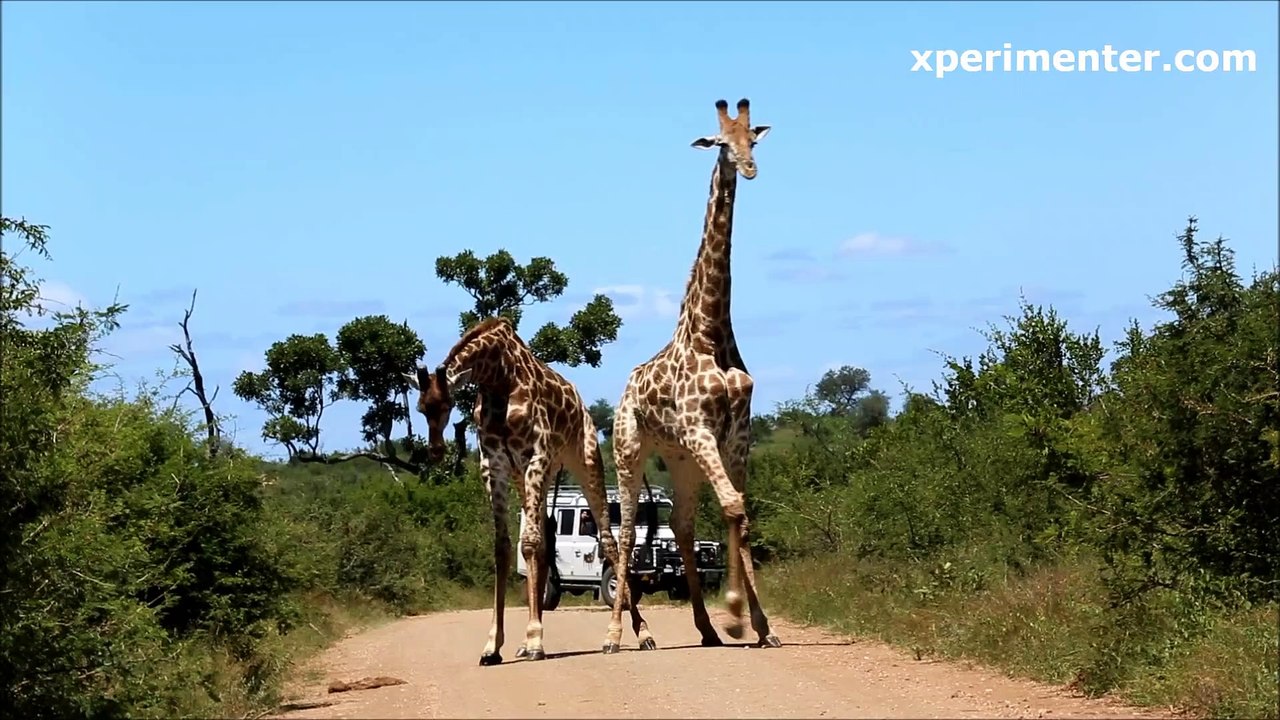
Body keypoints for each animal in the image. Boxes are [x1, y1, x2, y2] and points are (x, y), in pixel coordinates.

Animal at [403, 316, 655, 665]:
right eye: (421, 407)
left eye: (447, 404)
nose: (436, 451)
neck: (497, 379)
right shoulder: (494, 465)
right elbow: (504, 548)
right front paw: (494, 645)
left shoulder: (535, 456)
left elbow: (530, 543)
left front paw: (536, 639)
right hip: (532, 476)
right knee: (547, 541)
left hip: (583, 461)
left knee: (608, 541)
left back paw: (640, 634)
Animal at [605, 97, 780, 653]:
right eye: (721, 142)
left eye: (753, 137)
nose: (749, 167)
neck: (710, 331)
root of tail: (624, 390)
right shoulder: (701, 428)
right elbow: (732, 506)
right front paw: (737, 616)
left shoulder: (737, 434)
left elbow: (738, 511)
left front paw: (758, 625)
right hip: (630, 449)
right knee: (624, 531)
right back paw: (619, 635)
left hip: (680, 461)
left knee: (680, 527)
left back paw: (704, 629)